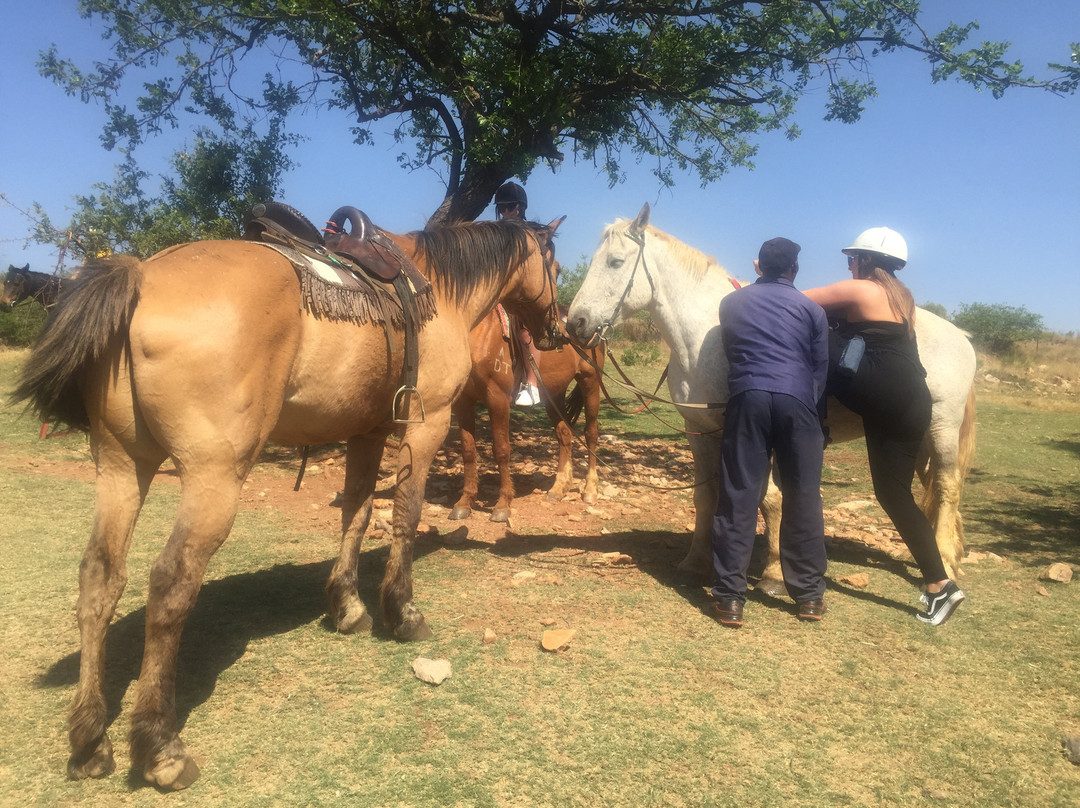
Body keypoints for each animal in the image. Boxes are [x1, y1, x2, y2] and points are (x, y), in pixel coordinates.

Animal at [449, 306, 609, 520]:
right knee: (564, 434)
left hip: (590, 383)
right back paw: (559, 488)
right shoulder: (463, 401)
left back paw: (590, 489)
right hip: (554, 393)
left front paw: (503, 505)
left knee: (590, 433)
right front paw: (464, 502)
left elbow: (501, 450)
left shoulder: (497, 399)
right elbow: (468, 450)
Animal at [565, 202, 980, 591]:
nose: (576, 323)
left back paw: (945, 559)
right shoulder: (699, 430)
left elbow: (770, 499)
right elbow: (705, 497)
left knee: (947, 485)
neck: (706, 338)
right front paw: (695, 562)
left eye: (616, 262)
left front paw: (774, 571)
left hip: (942, 428)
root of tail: (961, 337)